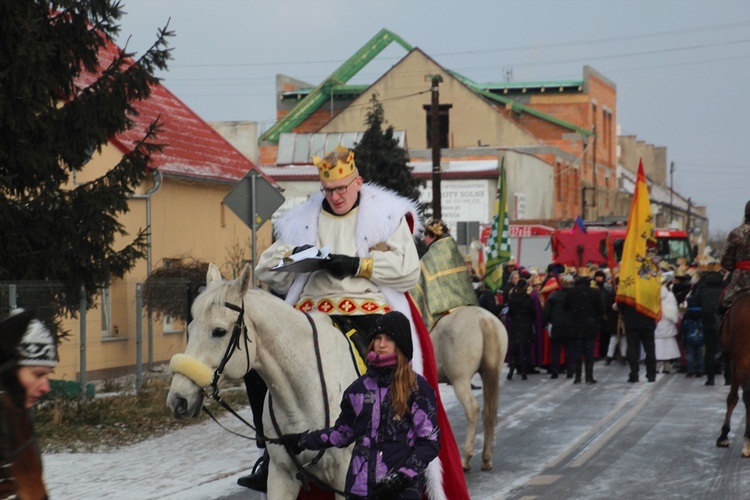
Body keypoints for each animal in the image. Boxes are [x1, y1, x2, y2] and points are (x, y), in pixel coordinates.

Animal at [428, 304, 512, 472]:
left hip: (460, 380)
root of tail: (484, 319)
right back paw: (486, 459)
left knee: (472, 409)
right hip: (489, 373)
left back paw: (465, 459)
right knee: (487, 411)